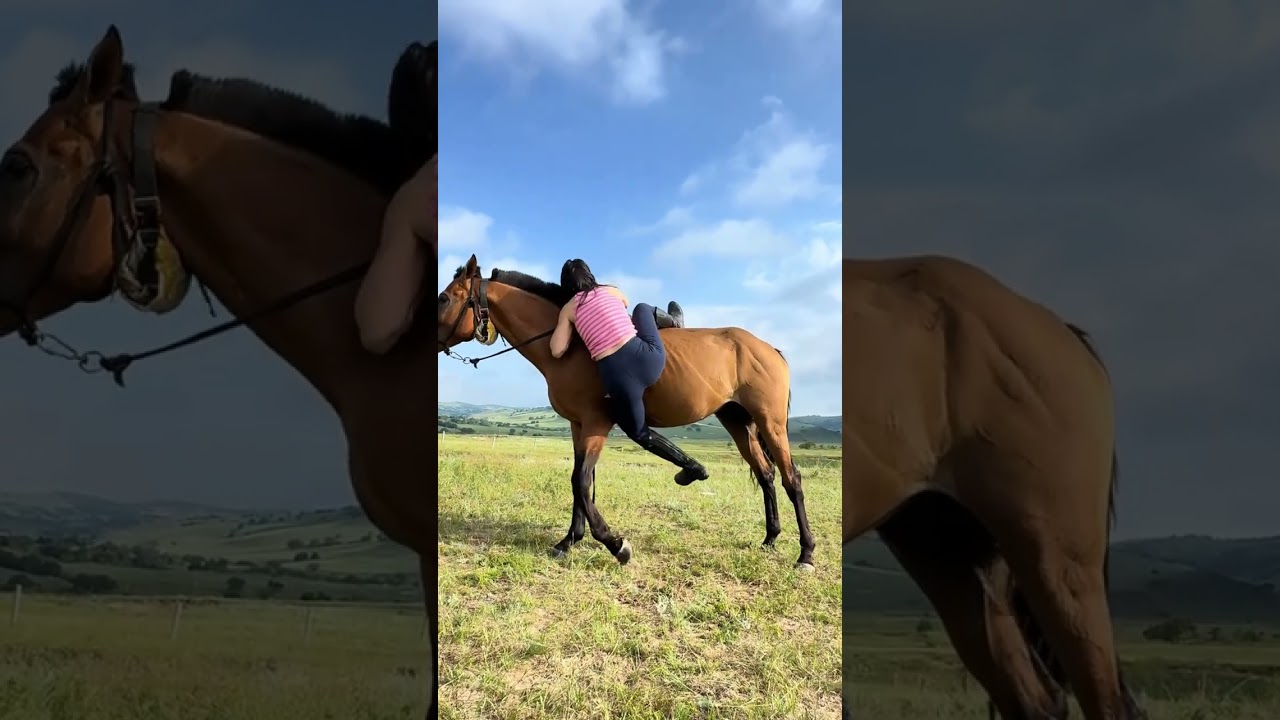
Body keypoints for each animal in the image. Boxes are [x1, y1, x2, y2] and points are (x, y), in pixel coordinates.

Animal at [437, 255, 818, 570]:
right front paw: (569, 541)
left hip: (771, 423)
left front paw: (614, 544)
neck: (573, 346)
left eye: (443, 298)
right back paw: (770, 538)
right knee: (766, 474)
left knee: (792, 479)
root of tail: (768, 348)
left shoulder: (597, 424)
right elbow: (581, 483)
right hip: (737, 421)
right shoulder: (578, 426)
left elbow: (581, 481)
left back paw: (806, 553)